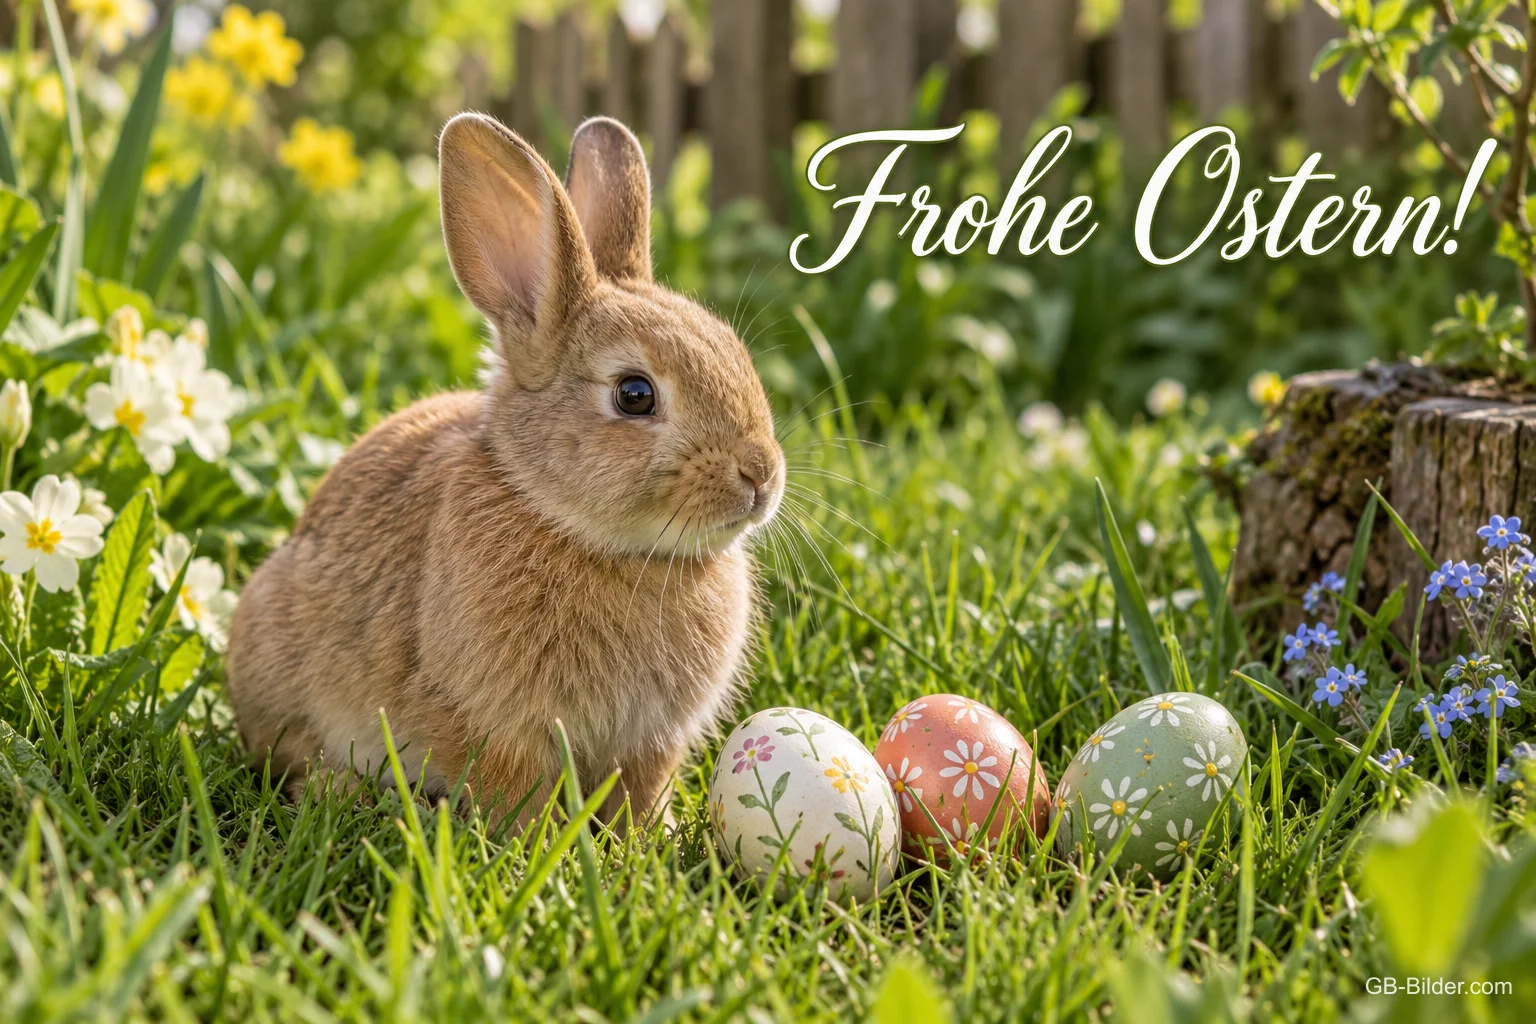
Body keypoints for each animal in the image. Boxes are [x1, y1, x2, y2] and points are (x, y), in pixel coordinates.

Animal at [225, 113, 785, 826]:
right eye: (634, 395)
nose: (761, 477)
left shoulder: (651, 742)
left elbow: (638, 792)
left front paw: (646, 838)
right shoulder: (489, 723)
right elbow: (517, 793)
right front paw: (543, 843)